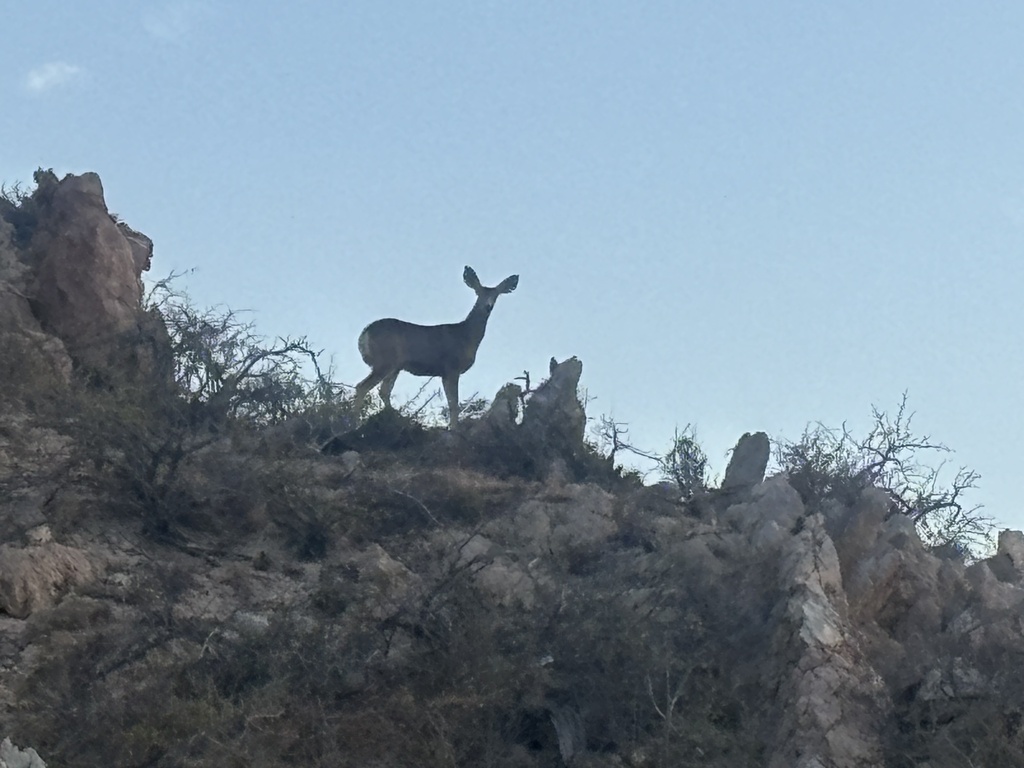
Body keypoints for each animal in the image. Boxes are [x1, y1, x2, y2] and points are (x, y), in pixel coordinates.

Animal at [352, 266, 519, 428]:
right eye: (478, 293)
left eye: (496, 295)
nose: (488, 306)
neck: (465, 336)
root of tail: (364, 333)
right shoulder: (451, 367)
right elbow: (454, 403)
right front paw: (453, 429)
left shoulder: (444, 372)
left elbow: (451, 402)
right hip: (385, 360)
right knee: (362, 387)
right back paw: (355, 422)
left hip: (395, 366)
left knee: (384, 391)